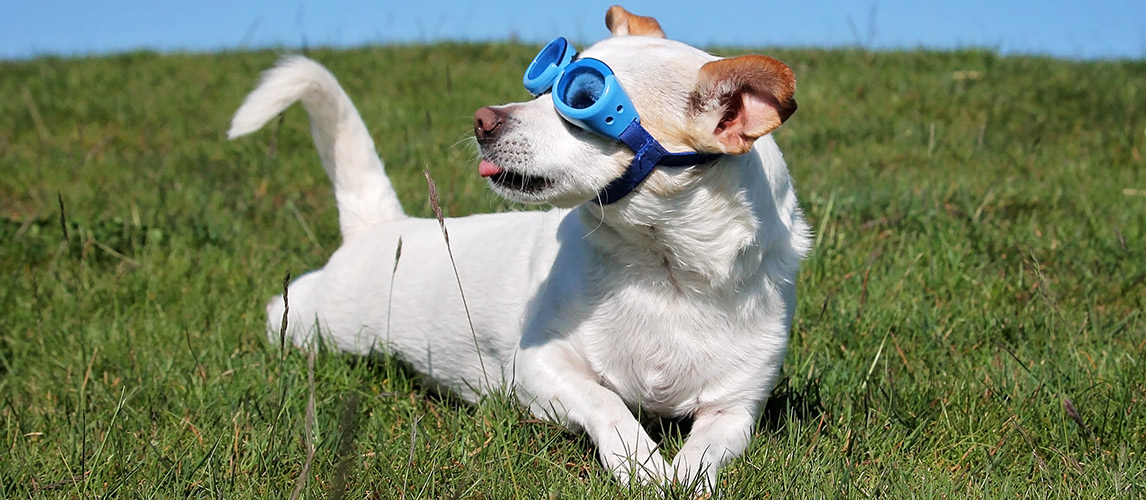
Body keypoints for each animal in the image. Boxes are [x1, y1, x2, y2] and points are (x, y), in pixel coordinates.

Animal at [228, 4, 811, 493]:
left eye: (581, 99)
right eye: (543, 82)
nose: (481, 119)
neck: (663, 270)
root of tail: (384, 226)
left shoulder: (736, 410)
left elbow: (707, 451)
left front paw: (682, 476)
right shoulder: (538, 367)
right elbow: (607, 402)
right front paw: (642, 463)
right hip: (319, 322)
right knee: (281, 311)